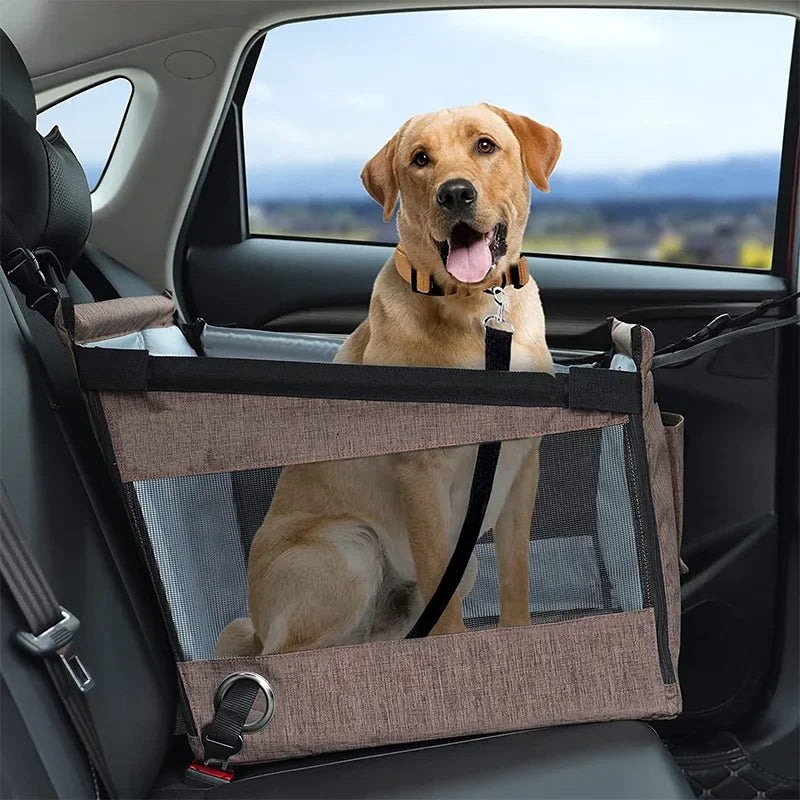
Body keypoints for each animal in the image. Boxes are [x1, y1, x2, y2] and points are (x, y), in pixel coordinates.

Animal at [216, 104, 560, 656]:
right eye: (420, 159)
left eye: (485, 145)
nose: (455, 194)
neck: (476, 312)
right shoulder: (421, 477)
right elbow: (444, 597)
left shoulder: (521, 466)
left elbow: (516, 576)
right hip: (350, 549)